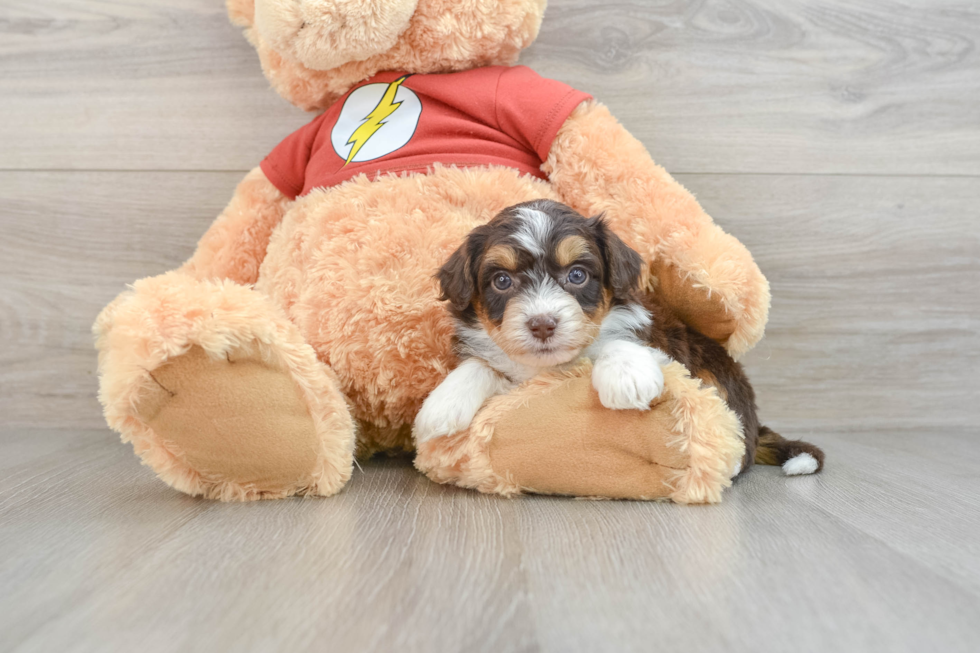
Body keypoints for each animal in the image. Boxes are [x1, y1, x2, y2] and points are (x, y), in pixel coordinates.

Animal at [418, 199, 824, 478]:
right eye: (501, 280)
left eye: (577, 275)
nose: (543, 324)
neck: (550, 366)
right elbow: (480, 364)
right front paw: (442, 406)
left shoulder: (660, 346)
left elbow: (618, 341)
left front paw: (627, 378)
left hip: (716, 374)